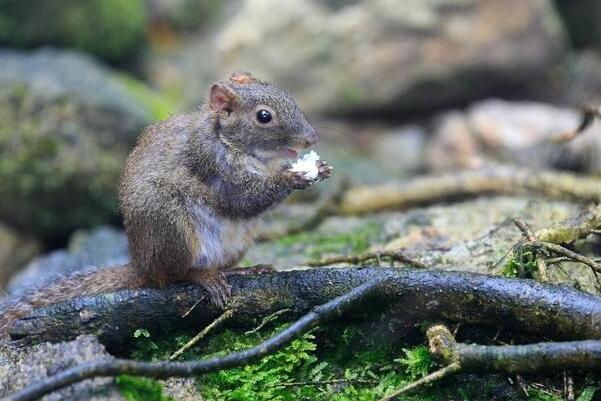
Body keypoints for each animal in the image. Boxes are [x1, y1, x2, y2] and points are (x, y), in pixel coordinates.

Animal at [0, 72, 330, 338]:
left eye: (287, 95)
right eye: (264, 117)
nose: (312, 138)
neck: (228, 140)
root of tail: (141, 266)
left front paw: (316, 169)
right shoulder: (213, 166)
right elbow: (243, 199)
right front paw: (294, 177)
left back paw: (243, 271)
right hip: (169, 223)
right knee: (172, 276)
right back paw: (203, 277)